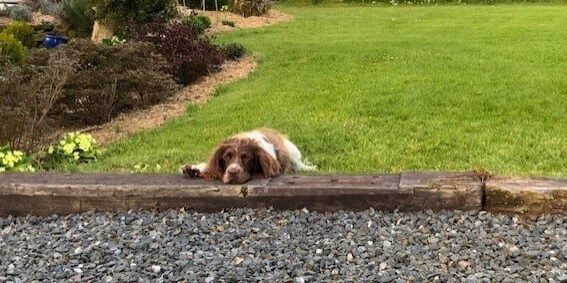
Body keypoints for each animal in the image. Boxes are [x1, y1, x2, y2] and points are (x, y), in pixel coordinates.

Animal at [182, 129, 316, 184]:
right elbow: (207, 168)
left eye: (246, 157)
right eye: (226, 156)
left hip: (292, 152)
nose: (233, 172)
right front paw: (192, 169)